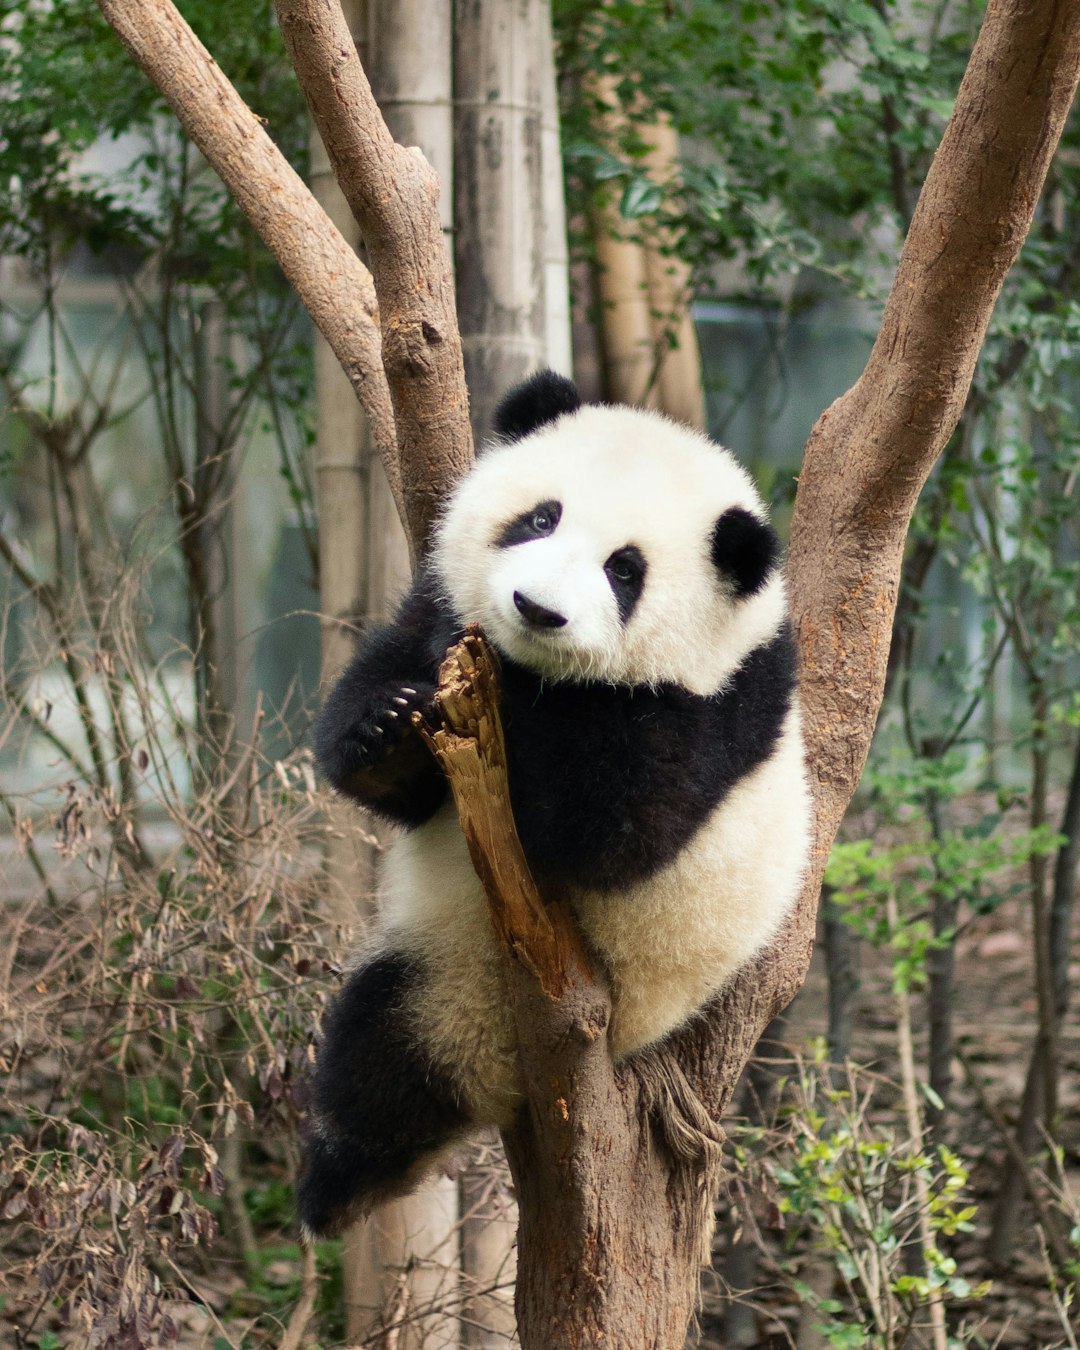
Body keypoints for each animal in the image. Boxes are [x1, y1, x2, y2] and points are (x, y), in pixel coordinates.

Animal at [299, 375, 804, 1236]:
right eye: (541, 517)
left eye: (625, 571)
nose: (535, 608)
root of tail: (498, 1067)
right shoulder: (433, 604)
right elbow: (391, 727)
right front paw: (388, 723)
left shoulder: (708, 707)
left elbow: (615, 830)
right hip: (436, 969)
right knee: (373, 1068)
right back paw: (339, 1190)